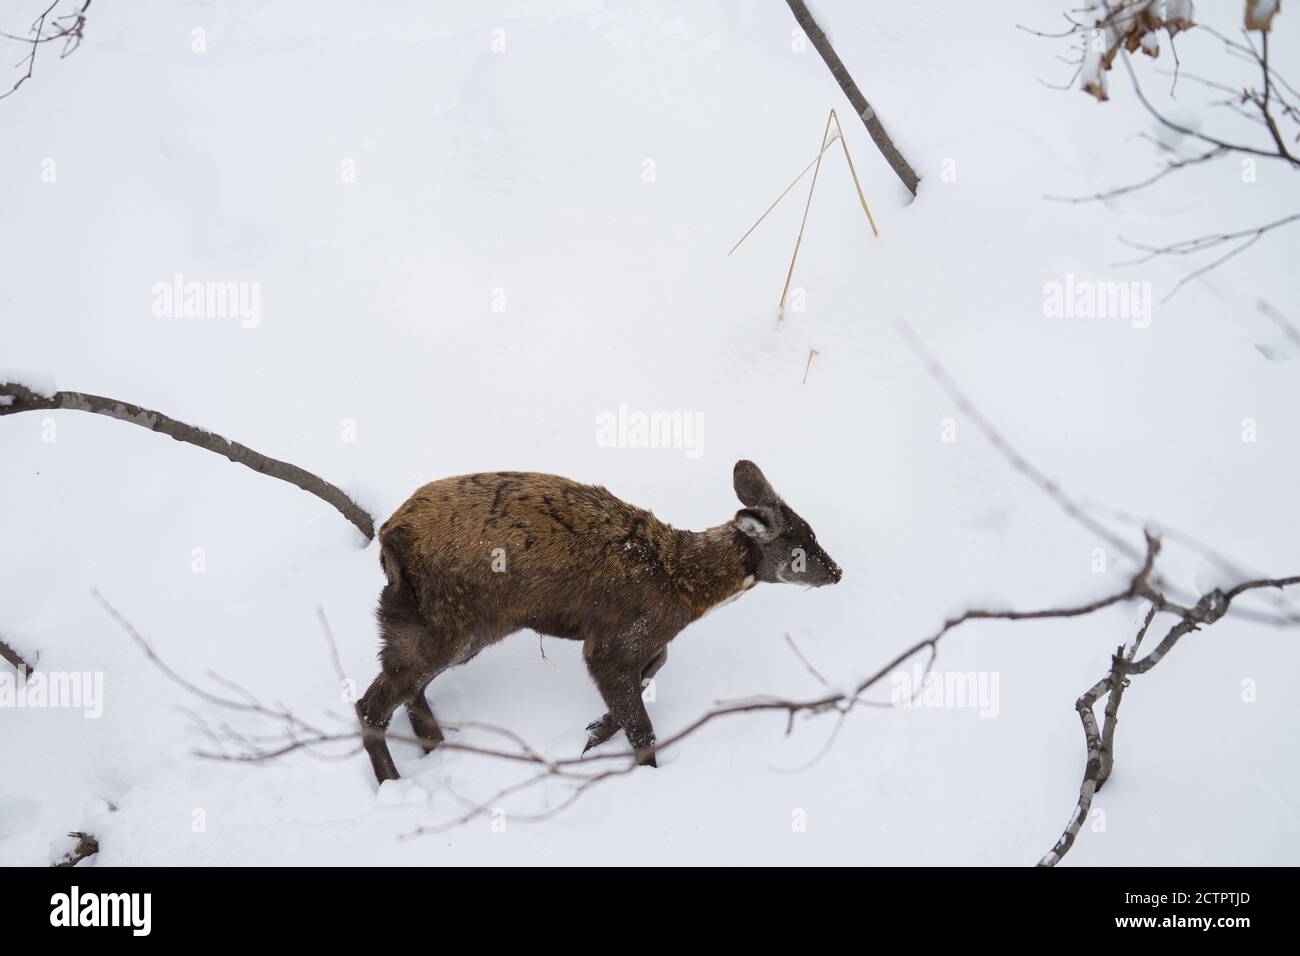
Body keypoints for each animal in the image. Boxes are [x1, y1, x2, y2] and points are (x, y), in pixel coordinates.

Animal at [356, 460, 842, 780]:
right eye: (801, 547)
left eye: (813, 531)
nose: (837, 572)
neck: (681, 587)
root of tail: (387, 539)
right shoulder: (614, 640)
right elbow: (642, 725)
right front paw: (642, 771)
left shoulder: (642, 641)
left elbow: (655, 668)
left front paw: (598, 729)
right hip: (447, 620)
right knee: (371, 704)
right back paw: (392, 781)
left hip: (448, 628)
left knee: (406, 688)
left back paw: (433, 748)